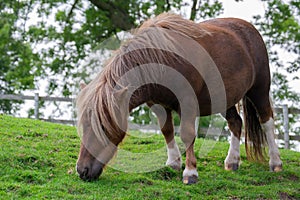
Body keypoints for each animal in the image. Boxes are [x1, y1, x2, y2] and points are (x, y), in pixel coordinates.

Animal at [76, 12, 282, 184]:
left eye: (103, 126)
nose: (82, 170)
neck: (161, 60)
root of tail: (250, 29)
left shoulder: (188, 103)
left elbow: (187, 134)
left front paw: (190, 173)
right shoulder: (157, 105)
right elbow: (167, 130)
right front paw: (173, 163)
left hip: (259, 90)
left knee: (267, 121)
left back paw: (275, 163)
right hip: (226, 98)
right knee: (236, 123)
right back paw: (232, 162)